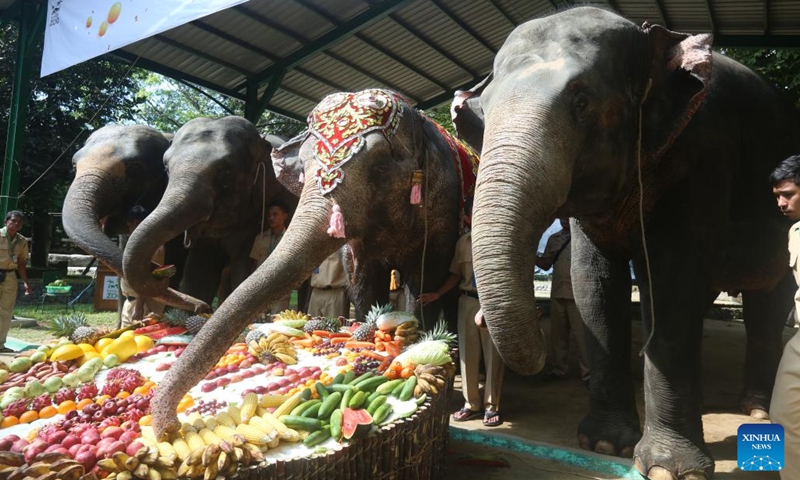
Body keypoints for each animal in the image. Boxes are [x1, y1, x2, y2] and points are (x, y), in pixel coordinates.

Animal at [150, 88, 476, 436]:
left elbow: (425, 281)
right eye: (304, 168)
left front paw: (419, 338)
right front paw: (375, 330)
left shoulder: (443, 206)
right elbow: (361, 280)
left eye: (380, 167)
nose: (170, 426)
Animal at [454, 7, 800, 480]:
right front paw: (604, 443)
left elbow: (675, 282)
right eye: (484, 111)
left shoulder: (705, 154)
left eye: (582, 103)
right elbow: (592, 284)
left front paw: (669, 468)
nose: (542, 361)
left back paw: (757, 410)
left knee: (768, 297)